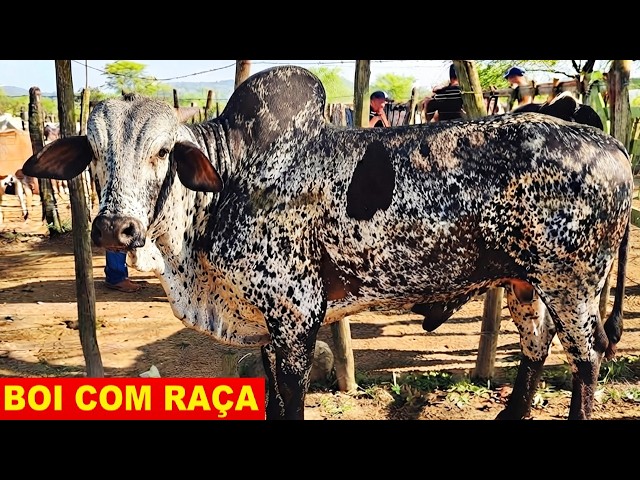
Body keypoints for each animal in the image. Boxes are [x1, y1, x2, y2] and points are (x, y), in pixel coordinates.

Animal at [22, 66, 633, 420]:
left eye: (164, 152)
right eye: (94, 152)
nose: (114, 229)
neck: (228, 183)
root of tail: (611, 145)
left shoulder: (296, 314)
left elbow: (291, 398)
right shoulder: (264, 324)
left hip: (571, 283)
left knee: (587, 360)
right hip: (525, 281)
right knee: (536, 349)